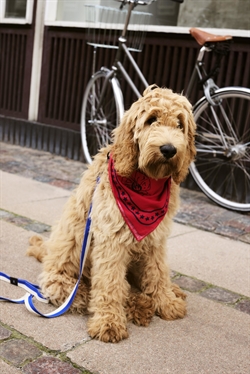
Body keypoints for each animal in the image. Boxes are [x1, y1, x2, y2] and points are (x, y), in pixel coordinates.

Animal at [26, 84, 195, 342]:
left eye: (179, 124)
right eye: (151, 120)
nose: (169, 149)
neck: (144, 181)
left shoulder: (155, 240)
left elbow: (157, 272)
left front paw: (166, 302)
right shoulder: (111, 239)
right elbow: (110, 283)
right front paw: (109, 321)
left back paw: (161, 296)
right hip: (63, 275)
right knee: (82, 289)